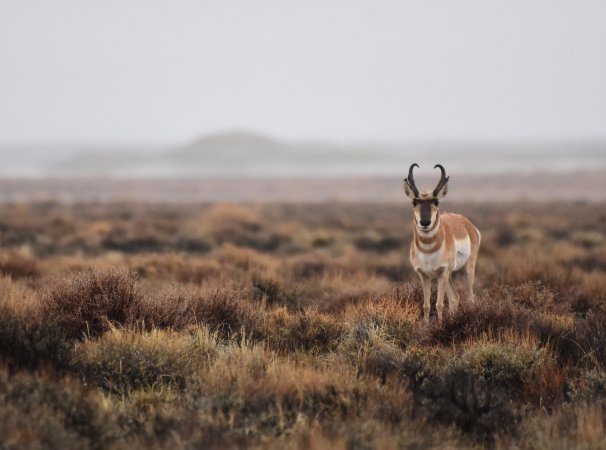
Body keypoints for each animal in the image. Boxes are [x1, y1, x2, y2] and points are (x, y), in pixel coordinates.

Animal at [406, 163, 482, 322]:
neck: (428, 249)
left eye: (436, 201)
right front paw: (426, 325)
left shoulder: (442, 273)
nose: (425, 222)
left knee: (470, 297)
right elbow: (426, 305)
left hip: (466, 269)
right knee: (455, 298)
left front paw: (440, 325)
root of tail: (466, 223)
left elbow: (439, 304)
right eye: (414, 202)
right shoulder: (425, 276)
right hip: (448, 275)